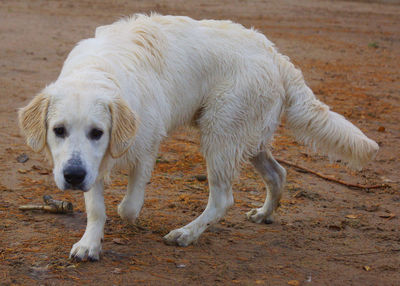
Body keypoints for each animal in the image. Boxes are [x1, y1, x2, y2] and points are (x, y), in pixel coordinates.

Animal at [18, 15, 378, 262]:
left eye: (97, 132)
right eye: (58, 130)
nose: (72, 177)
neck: (99, 72)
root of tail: (275, 55)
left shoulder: (145, 148)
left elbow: (128, 206)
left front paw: (125, 216)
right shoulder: (90, 165)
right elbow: (96, 208)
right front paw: (89, 244)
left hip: (219, 134)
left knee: (223, 199)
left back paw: (186, 233)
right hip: (247, 138)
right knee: (279, 173)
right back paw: (264, 214)